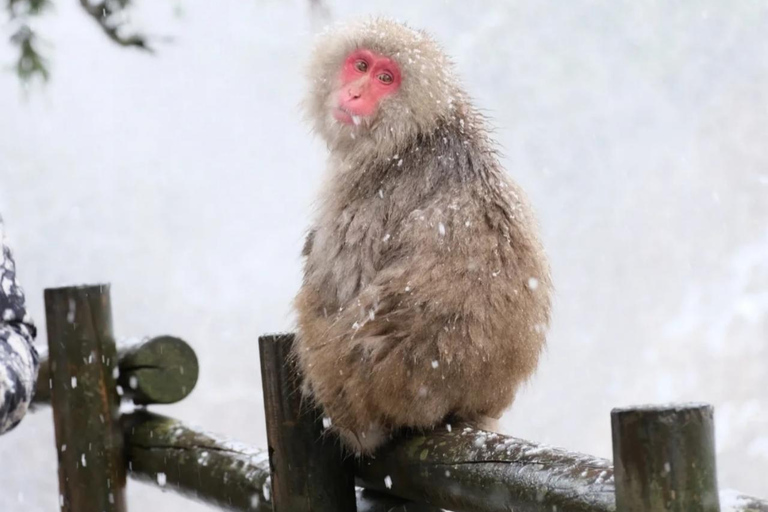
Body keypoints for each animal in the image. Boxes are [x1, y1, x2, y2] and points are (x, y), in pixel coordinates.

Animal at [293, 17, 552, 455]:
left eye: (386, 78)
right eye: (360, 65)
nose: (356, 92)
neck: (413, 133)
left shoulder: (366, 190)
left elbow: (332, 288)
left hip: (346, 384)